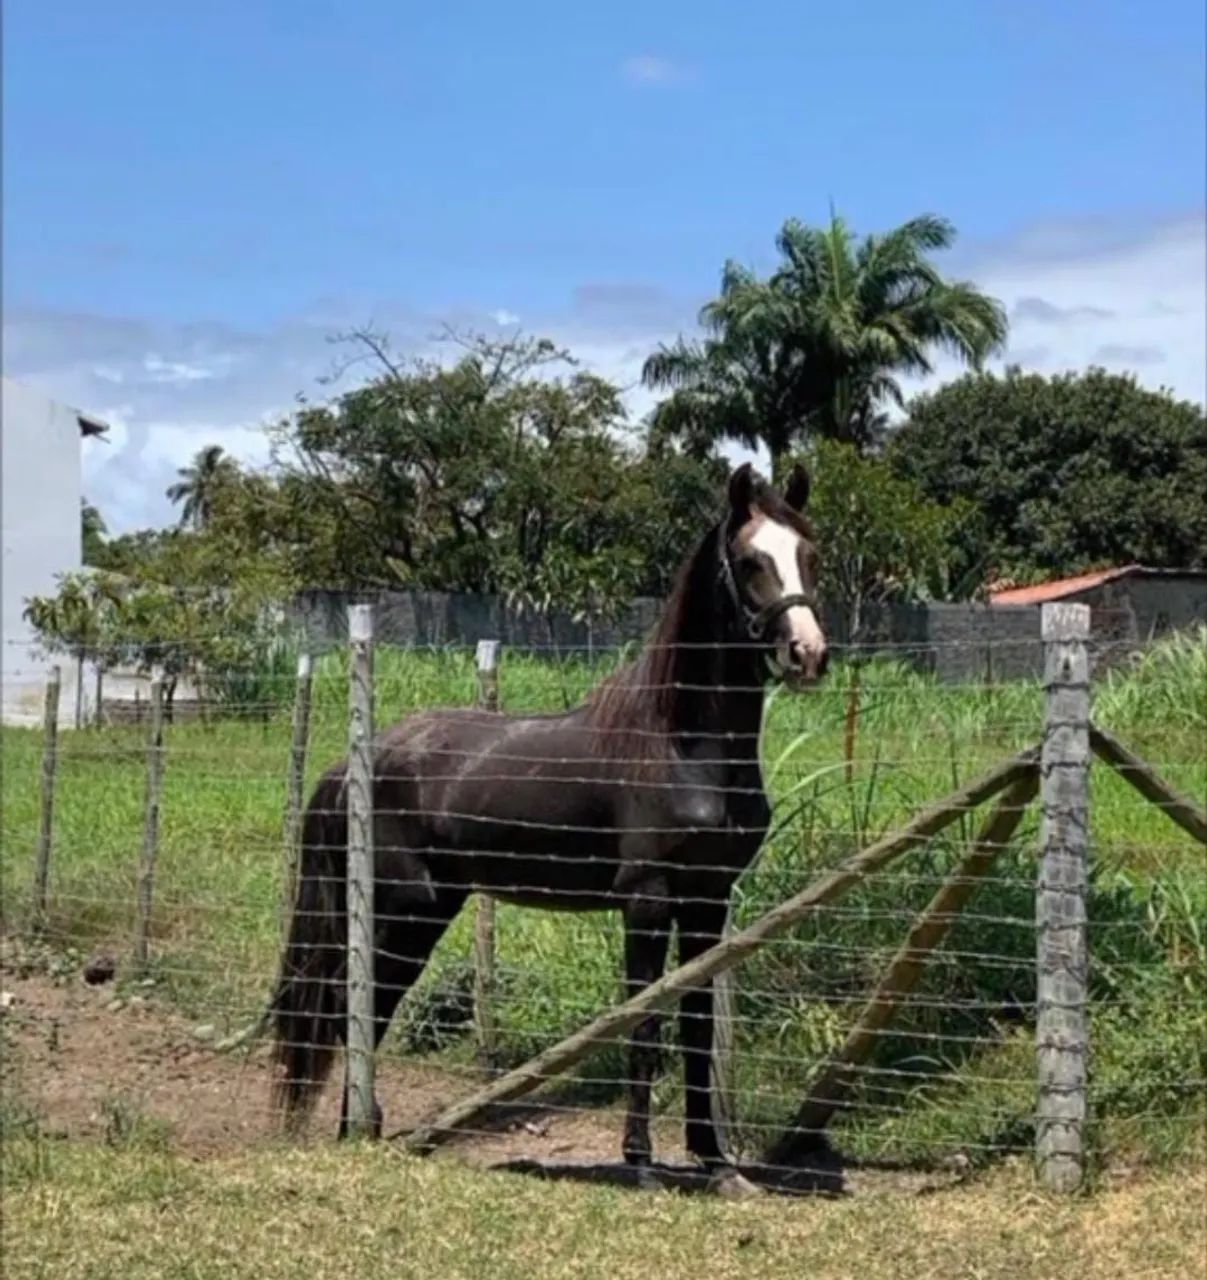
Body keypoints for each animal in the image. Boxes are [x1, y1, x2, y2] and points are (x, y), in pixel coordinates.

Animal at [269, 460, 828, 1170]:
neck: (679, 743)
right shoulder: (647, 900)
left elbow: (696, 1027)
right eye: (752, 560)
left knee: (361, 1008)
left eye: (809, 555)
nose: (808, 654)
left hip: (426, 910)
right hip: (403, 912)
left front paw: (713, 1158)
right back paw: (358, 1129)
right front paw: (638, 1157)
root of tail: (352, 766)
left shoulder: (707, 900)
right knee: (356, 1007)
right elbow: (644, 1023)